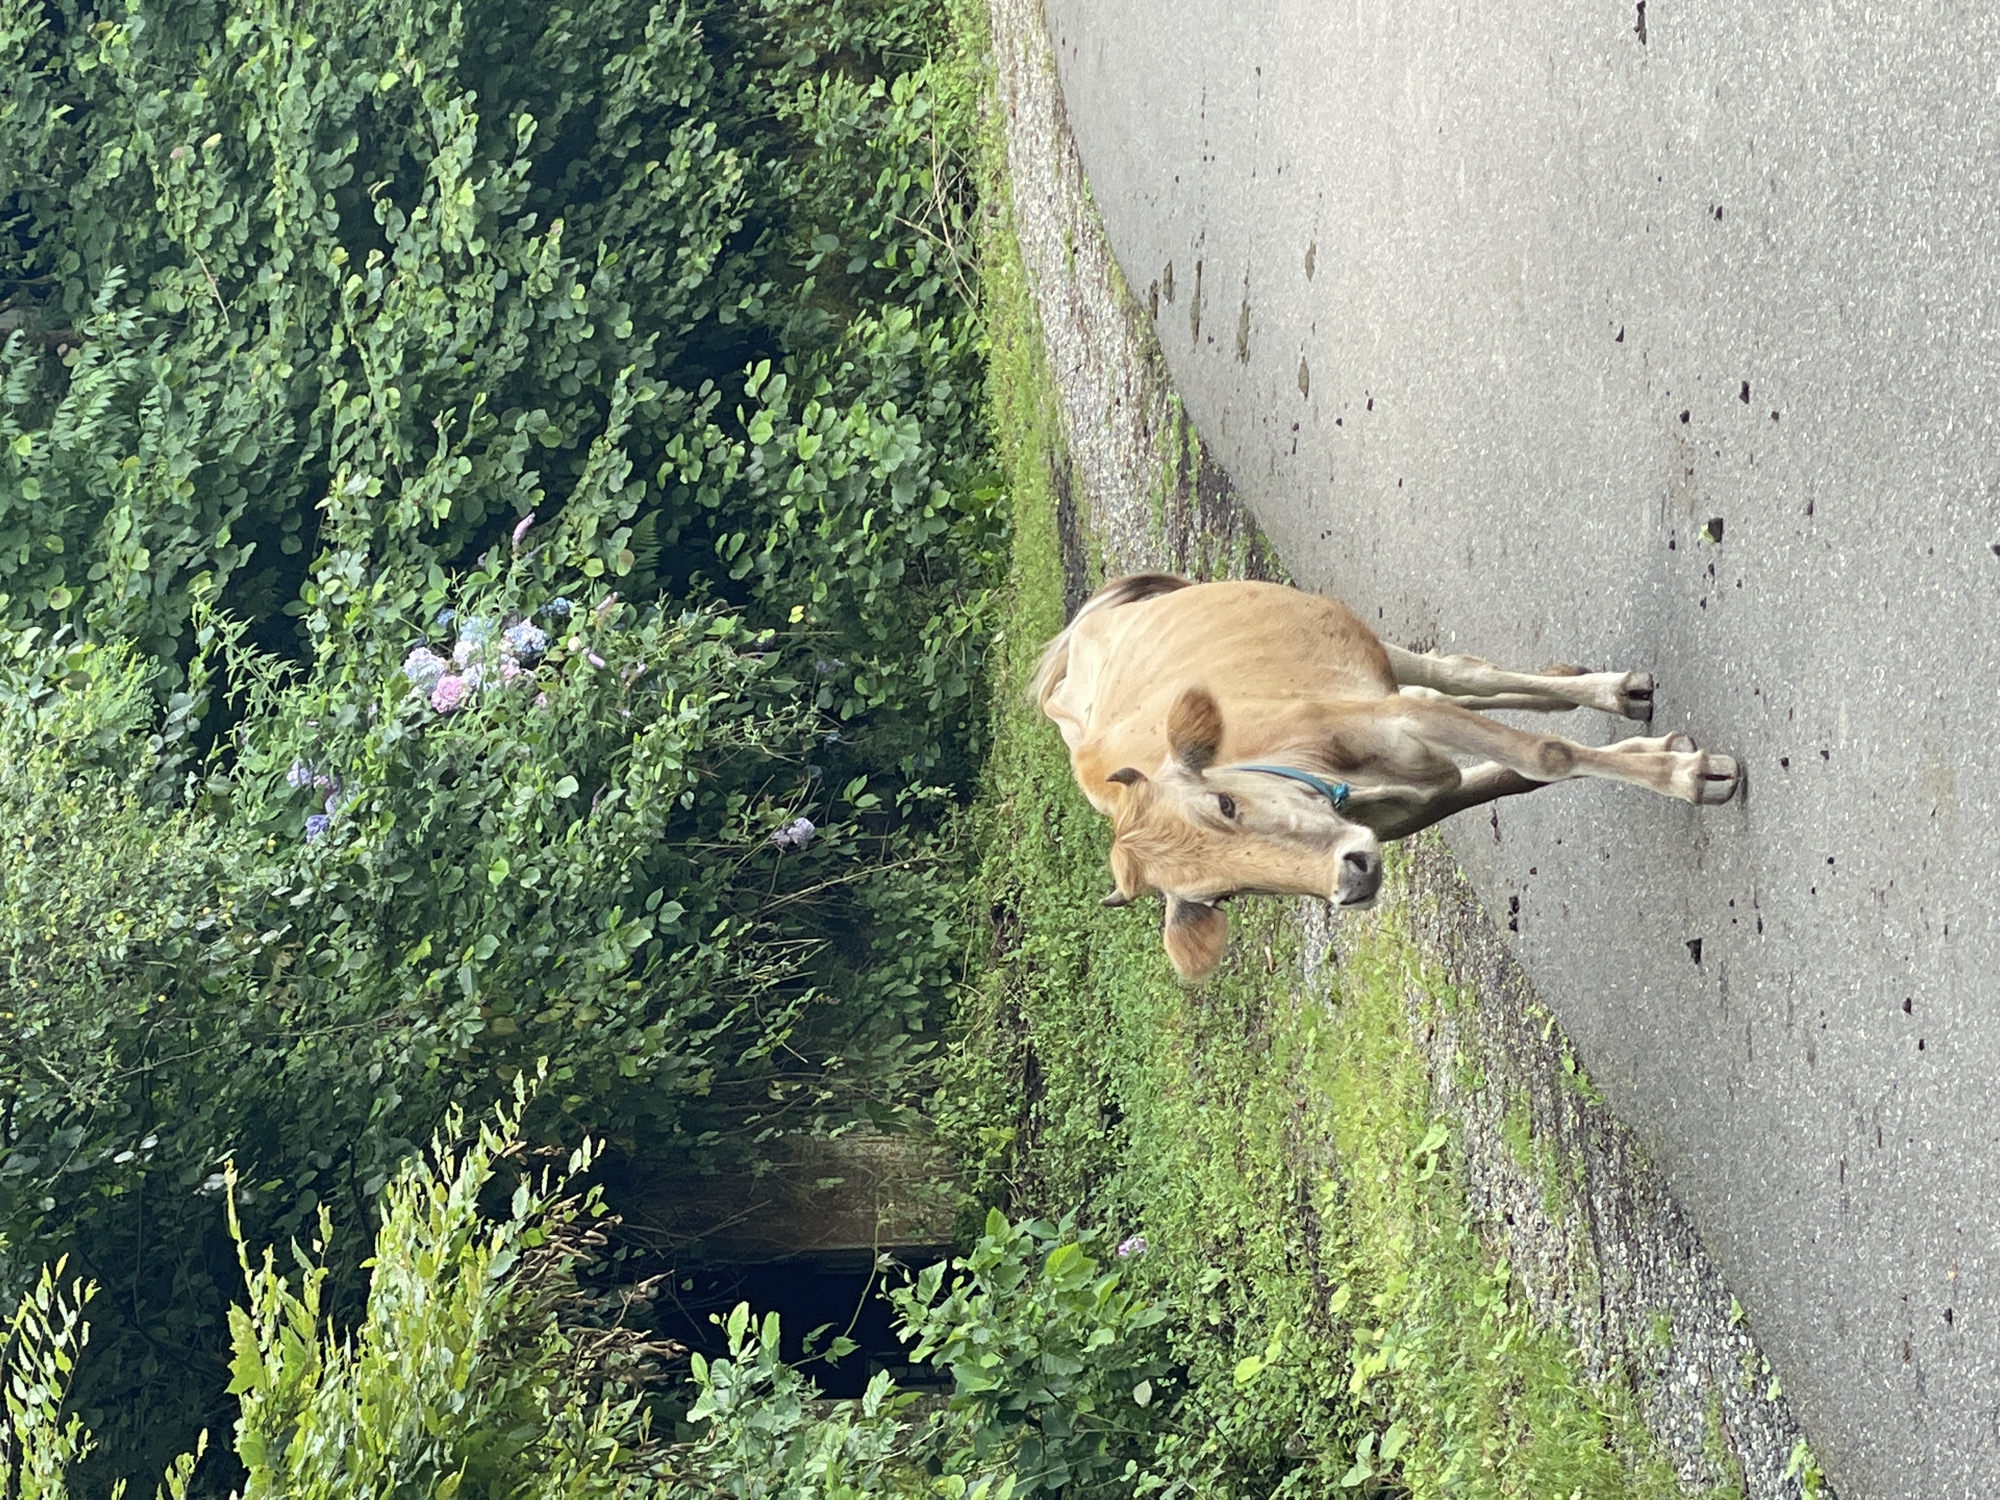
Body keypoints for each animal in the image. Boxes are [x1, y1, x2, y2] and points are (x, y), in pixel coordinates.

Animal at [1034, 573, 1739, 980]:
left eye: (1225, 804)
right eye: (1221, 897)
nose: (1350, 880)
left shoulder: (1398, 718)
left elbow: (1544, 755)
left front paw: (1688, 774)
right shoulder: (1428, 789)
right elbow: (1515, 776)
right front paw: (1667, 755)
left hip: (1366, 647)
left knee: (1459, 672)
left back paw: (1614, 690)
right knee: (1464, 683)